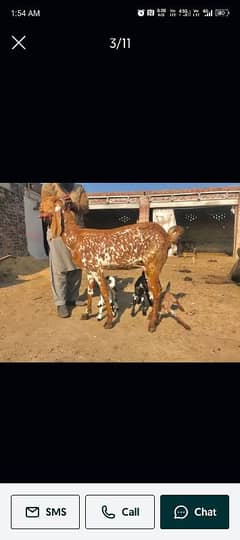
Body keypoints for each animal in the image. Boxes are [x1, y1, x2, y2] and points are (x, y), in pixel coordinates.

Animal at [39, 197, 184, 332]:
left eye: (48, 202)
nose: (38, 209)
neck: (76, 238)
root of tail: (167, 236)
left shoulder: (97, 269)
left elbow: (104, 293)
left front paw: (108, 321)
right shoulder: (89, 270)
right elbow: (90, 292)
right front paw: (87, 314)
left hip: (152, 265)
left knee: (157, 291)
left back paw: (152, 324)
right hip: (153, 268)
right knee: (158, 289)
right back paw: (152, 317)